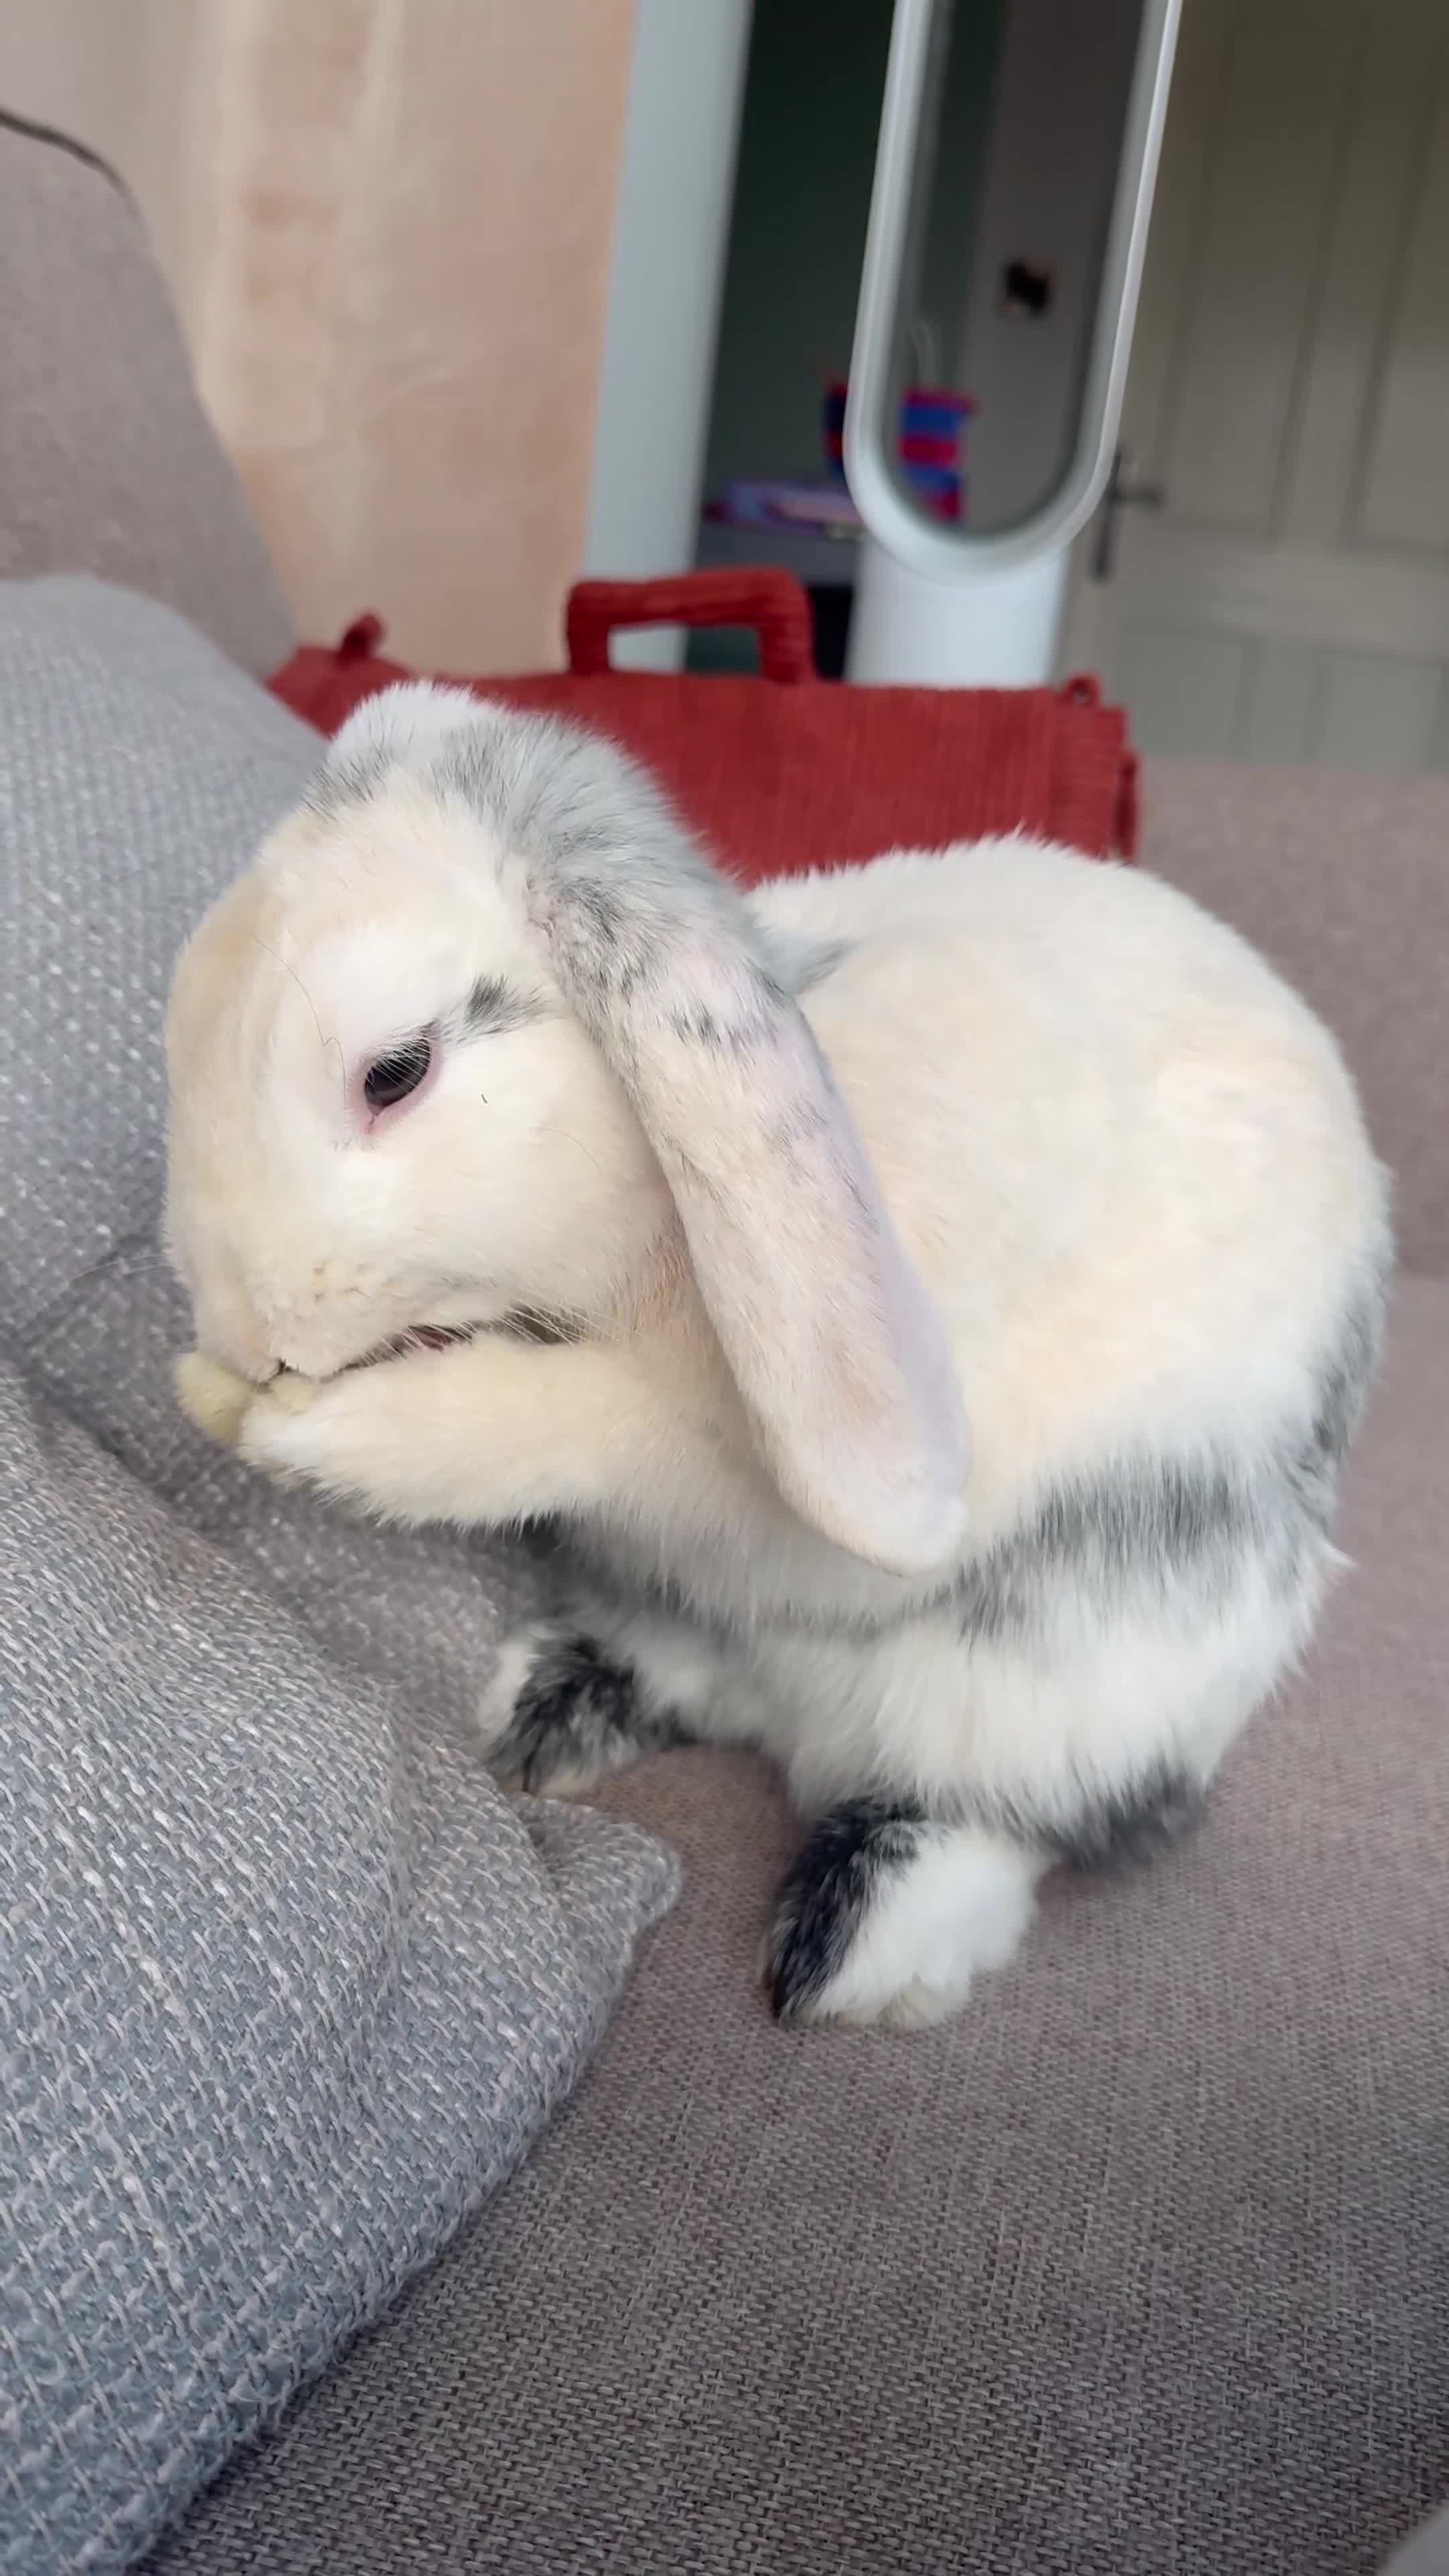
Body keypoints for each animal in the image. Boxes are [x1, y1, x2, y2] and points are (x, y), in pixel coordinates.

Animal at [166, 682, 1390, 2029]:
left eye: (395, 1072)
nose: (239, 1333)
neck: (644, 1229)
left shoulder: (718, 1453)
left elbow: (577, 1426)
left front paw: (335, 1439)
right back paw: (549, 1712)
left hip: (1079, 1690)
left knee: (1006, 1817)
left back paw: (857, 1956)